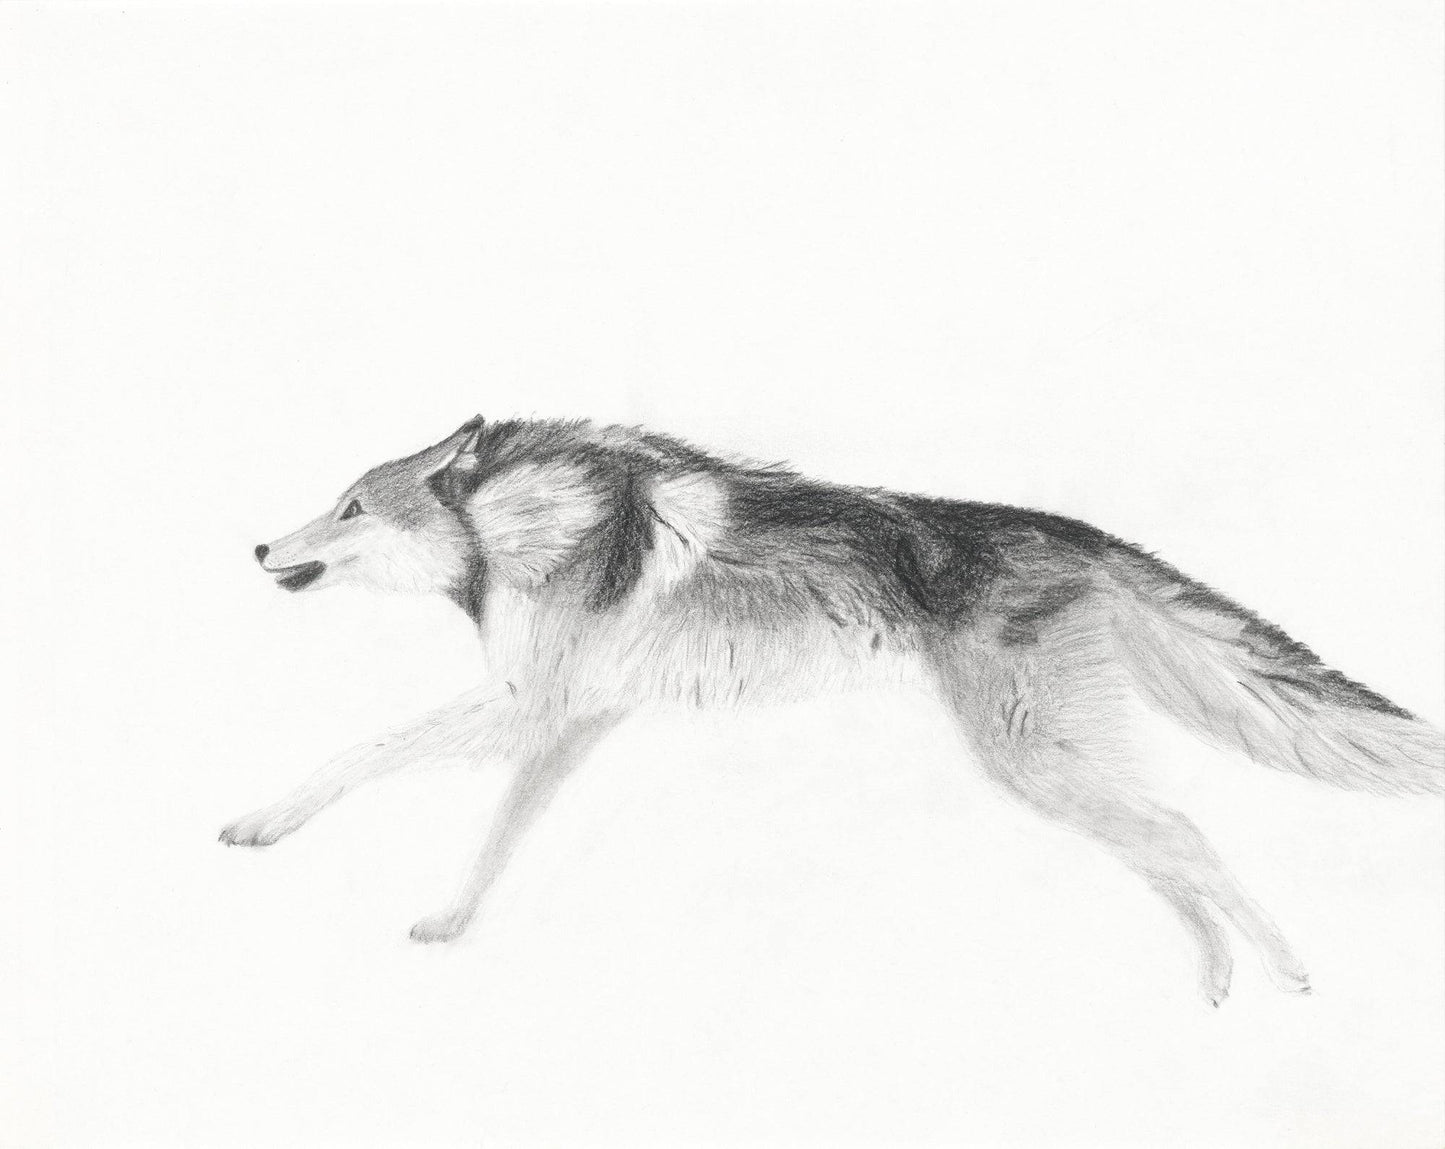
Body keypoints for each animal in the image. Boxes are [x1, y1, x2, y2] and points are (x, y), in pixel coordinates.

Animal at [222, 416, 1443, 1004]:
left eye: (348, 506)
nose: (258, 548)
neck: (509, 523)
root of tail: (1077, 534)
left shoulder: (528, 708)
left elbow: (358, 754)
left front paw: (263, 825)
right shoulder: (567, 721)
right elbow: (493, 839)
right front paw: (449, 923)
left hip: (1032, 759)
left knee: (1184, 836)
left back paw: (1285, 975)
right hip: (1056, 765)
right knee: (1166, 849)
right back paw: (1216, 991)